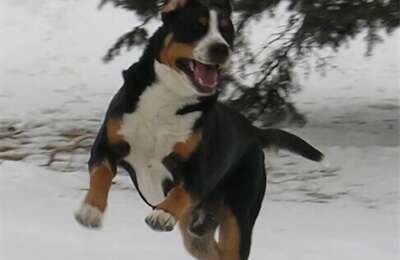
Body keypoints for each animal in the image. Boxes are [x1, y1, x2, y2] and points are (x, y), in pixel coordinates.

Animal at [76, 1, 326, 258]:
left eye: (227, 31)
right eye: (197, 26)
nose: (221, 49)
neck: (168, 99)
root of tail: (252, 130)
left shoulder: (196, 170)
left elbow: (180, 192)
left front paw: (162, 214)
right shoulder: (106, 146)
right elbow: (101, 174)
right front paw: (91, 210)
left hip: (237, 219)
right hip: (196, 235)